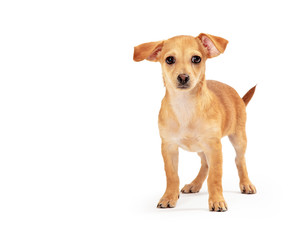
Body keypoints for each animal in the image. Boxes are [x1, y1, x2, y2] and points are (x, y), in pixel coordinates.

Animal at [133, 32, 255, 211]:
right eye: (169, 59)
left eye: (196, 59)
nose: (183, 77)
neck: (185, 106)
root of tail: (238, 96)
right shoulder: (168, 147)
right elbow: (172, 176)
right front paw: (169, 196)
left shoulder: (214, 147)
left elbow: (215, 177)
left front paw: (217, 200)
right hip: (201, 148)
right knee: (205, 164)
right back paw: (195, 184)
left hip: (238, 138)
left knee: (239, 160)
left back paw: (246, 183)